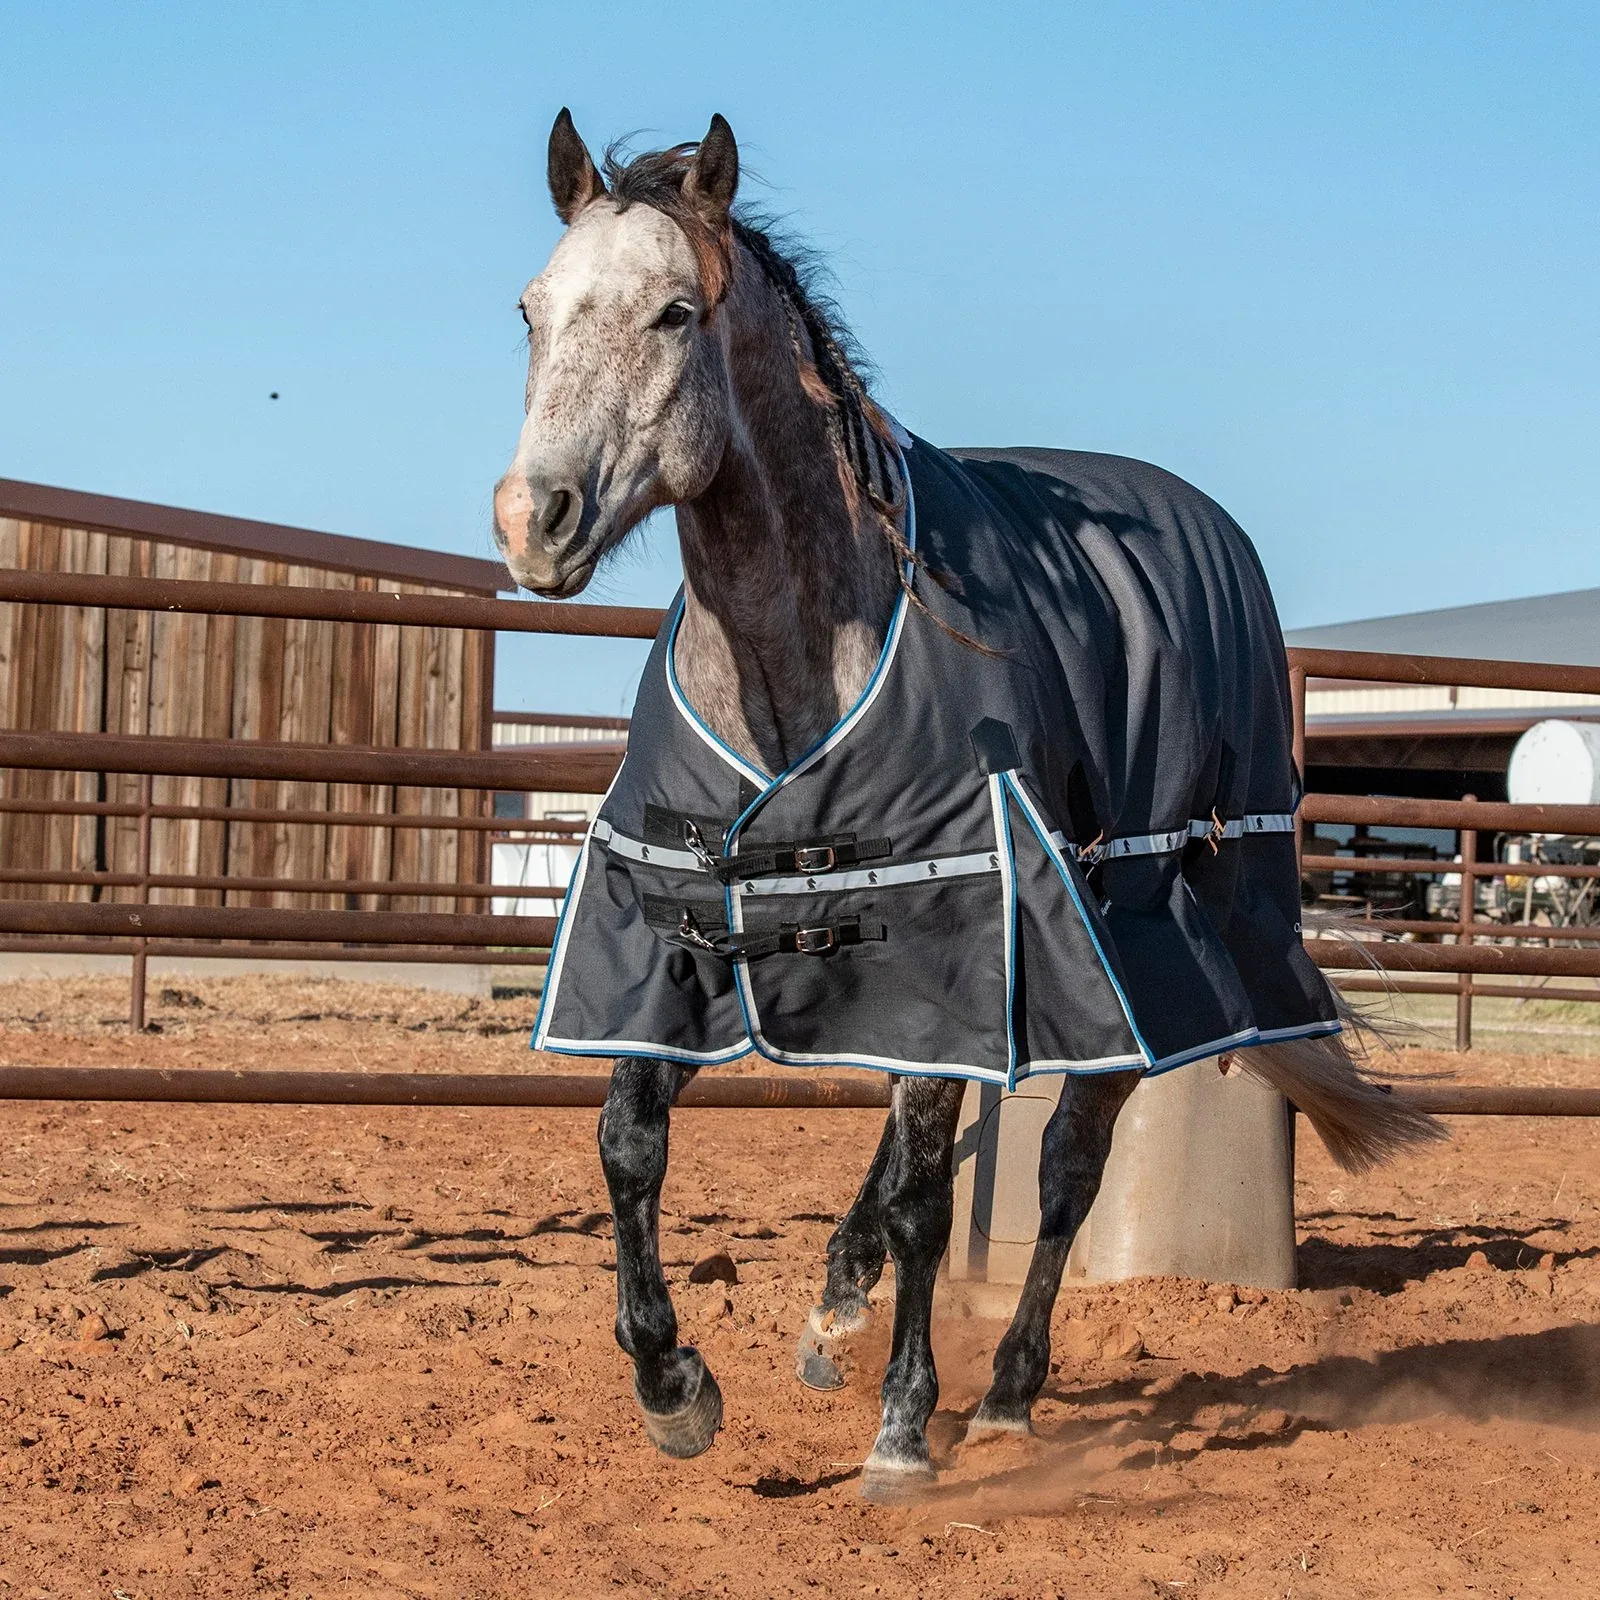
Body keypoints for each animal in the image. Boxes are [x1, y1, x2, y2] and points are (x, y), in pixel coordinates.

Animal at [491, 110, 1444, 1501]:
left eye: (675, 312)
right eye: (530, 308)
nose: (534, 520)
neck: (791, 654)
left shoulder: (951, 920)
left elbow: (935, 1200)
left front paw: (901, 1428)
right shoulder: (676, 918)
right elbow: (630, 1145)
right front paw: (675, 1387)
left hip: (1142, 929)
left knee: (1062, 1170)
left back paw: (998, 1395)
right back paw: (835, 1313)